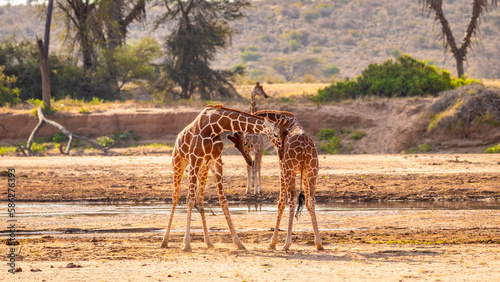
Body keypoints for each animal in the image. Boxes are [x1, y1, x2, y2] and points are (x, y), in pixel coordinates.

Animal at [160, 104, 290, 251]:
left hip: (203, 168)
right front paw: (186, 244)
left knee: (200, 199)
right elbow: (189, 200)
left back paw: (209, 242)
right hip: (178, 163)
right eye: (275, 134)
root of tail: (177, 139)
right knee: (176, 196)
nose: (281, 153)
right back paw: (165, 241)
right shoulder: (195, 160)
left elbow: (223, 201)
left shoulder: (215, 161)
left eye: (286, 134)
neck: (214, 126)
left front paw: (239, 243)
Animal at [228, 110, 324, 251]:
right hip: (312, 171)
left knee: (292, 199)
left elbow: (281, 203)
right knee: (311, 200)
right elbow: (307, 203)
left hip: (290, 171)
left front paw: (272, 243)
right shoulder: (303, 173)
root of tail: (304, 145)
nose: (249, 161)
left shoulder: (281, 169)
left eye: (244, 143)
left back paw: (287, 243)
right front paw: (317, 242)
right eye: (235, 145)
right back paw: (319, 243)